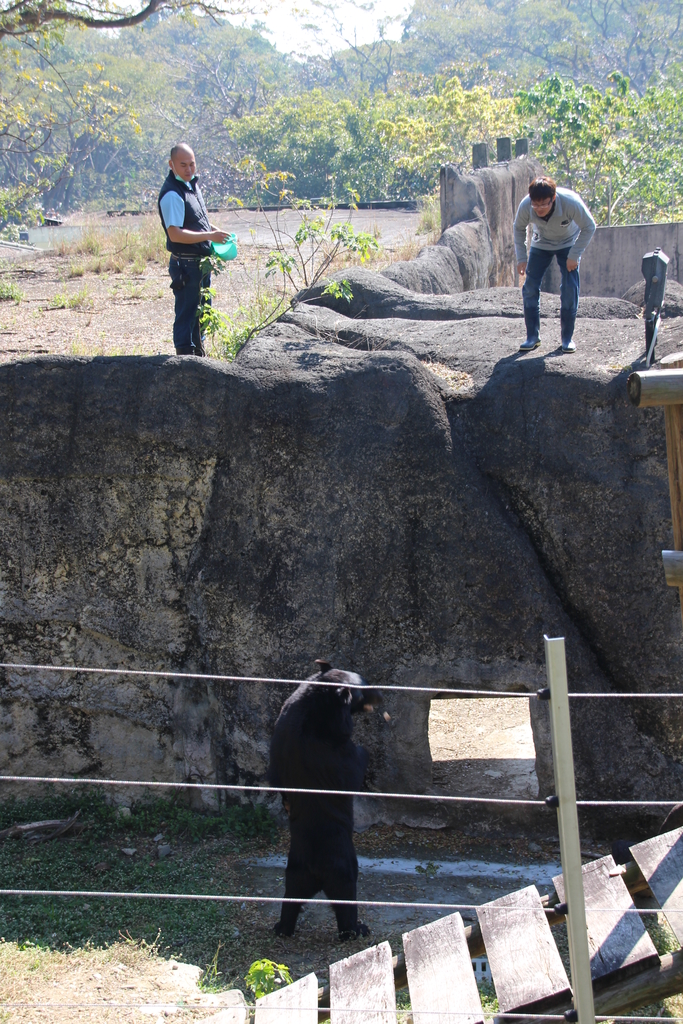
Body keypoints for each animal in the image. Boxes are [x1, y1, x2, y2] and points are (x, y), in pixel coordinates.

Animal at [268, 659, 385, 937]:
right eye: (365, 690)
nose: (381, 695)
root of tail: (315, 873)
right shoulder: (331, 746)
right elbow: (350, 771)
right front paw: (364, 750)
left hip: (294, 871)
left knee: (290, 898)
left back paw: (282, 927)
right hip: (343, 867)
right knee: (346, 896)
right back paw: (355, 929)